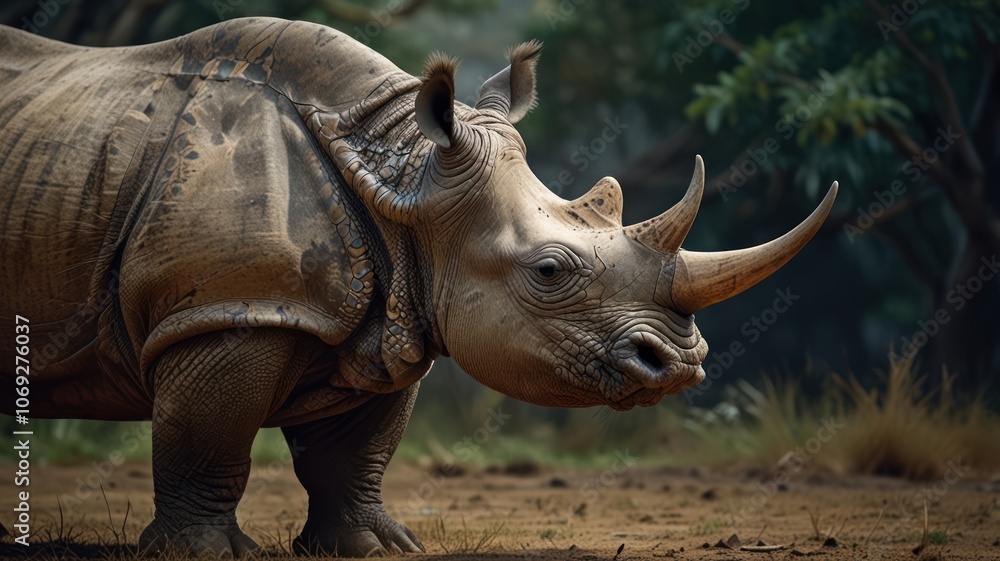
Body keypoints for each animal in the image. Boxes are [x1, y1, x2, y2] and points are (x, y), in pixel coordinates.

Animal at [0, 17, 837, 557]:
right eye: (550, 271)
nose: (682, 365)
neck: (405, 175)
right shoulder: (231, 306)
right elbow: (208, 434)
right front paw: (204, 554)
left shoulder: (385, 325)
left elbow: (356, 449)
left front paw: (374, 547)